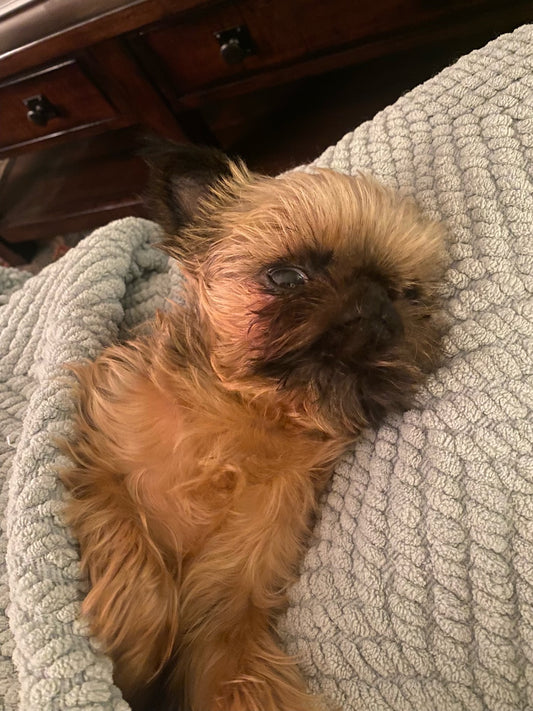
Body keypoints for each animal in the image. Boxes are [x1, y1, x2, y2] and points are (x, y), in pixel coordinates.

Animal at [61, 140, 444, 711]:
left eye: (410, 295)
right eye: (285, 277)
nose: (376, 302)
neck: (243, 416)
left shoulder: (227, 613)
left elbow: (236, 673)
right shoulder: (98, 460)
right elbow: (134, 548)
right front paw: (133, 640)